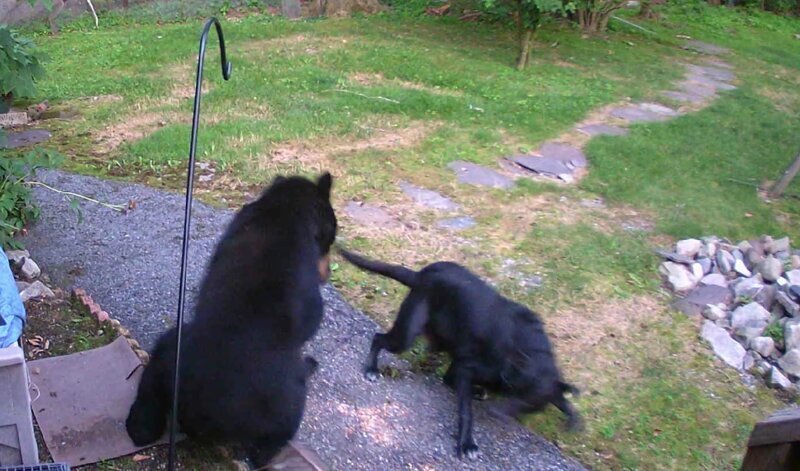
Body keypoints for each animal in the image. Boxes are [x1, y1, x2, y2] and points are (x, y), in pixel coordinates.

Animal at [127, 171, 338, 466]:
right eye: (329, 239)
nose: (327, 274)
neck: (285, 208)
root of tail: (199, 415)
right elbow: (311, 319)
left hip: (172, 346)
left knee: (151, 379)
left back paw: (140, 424)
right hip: (286, 396)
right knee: (274, 434)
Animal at [338, 249, 580, 460]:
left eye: (529, 407)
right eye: (515, 392)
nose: (495, 413)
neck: (526, 353)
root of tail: (422, 274)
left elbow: (560, 397)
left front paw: (573, 416)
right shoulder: (467, 368)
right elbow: (466, 412)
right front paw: (467, 443)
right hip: (406, 334)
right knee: (379, 339)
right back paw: (371, 368)